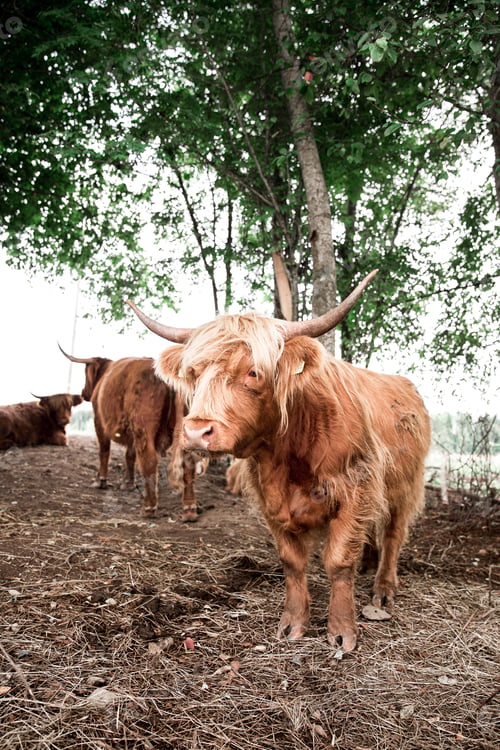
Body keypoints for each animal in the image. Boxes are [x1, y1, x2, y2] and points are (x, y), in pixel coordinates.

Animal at [58, 349, 204, 519]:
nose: (83, 393)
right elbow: (130, 455)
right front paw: (128, 483)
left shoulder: (99, 422)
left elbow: (104, 451)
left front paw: (100, 480)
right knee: (188, 463)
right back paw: (189, 509)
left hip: (143, 428)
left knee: (149, 460)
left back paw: (148, 508)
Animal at [127, 270, 431, 652]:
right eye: (194, 373)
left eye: (254, 373)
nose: (197, 431)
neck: (291, 451)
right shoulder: (270, 498)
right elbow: (292, 562)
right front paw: (293, 624)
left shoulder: (356, 488)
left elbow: (339, 561)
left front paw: (341, 631)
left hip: (404, 487)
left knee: (392, 533)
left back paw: (384, 588)